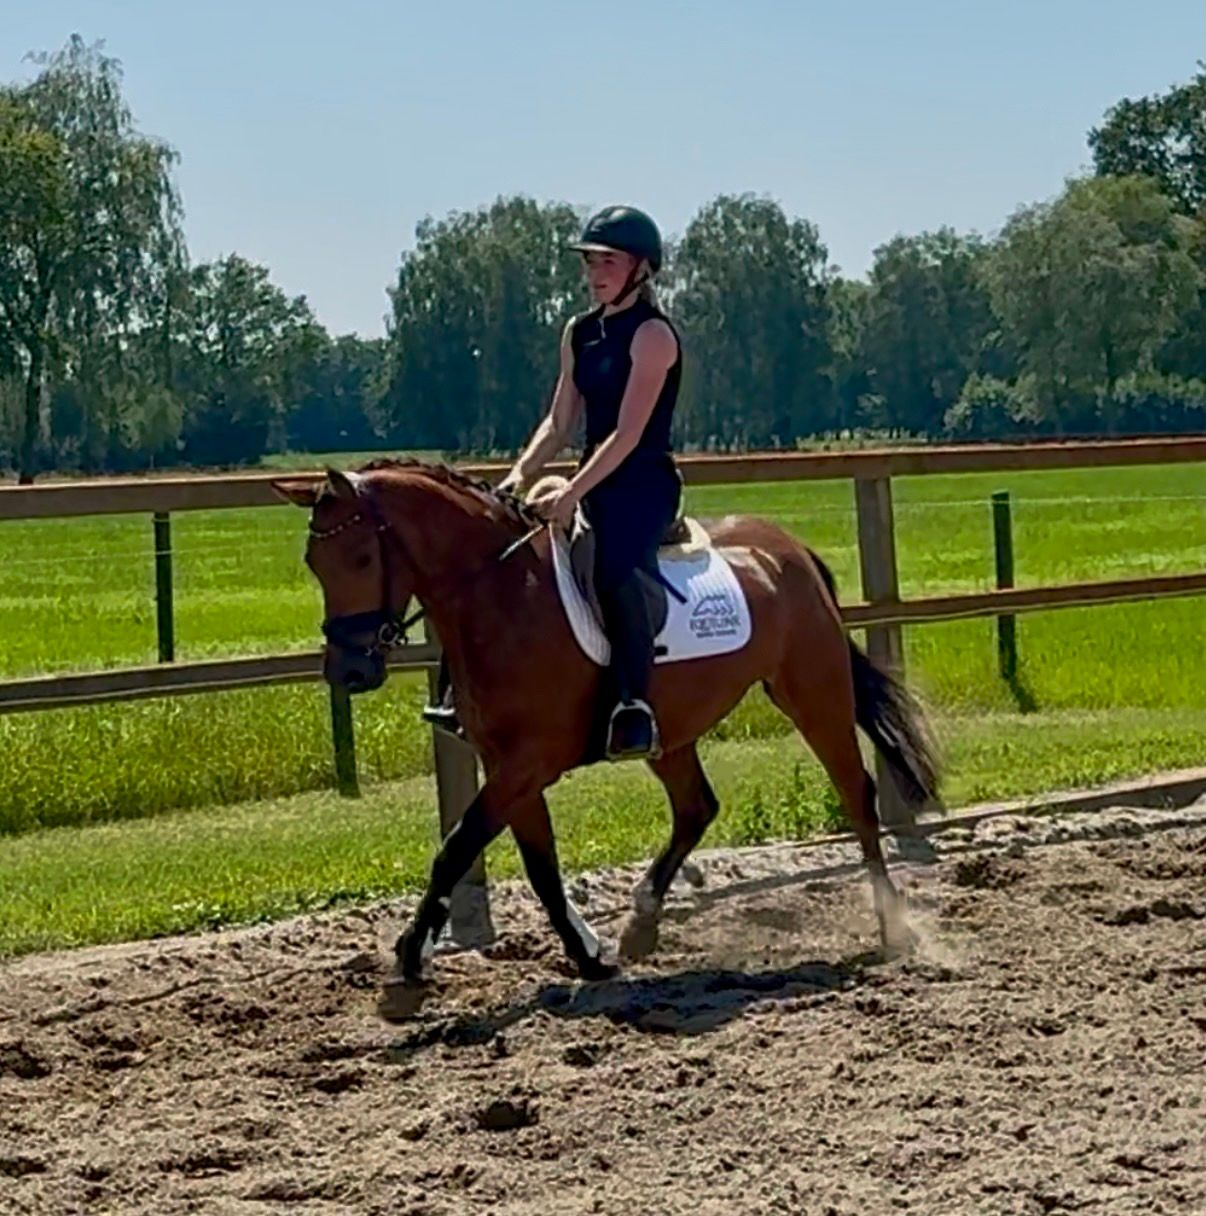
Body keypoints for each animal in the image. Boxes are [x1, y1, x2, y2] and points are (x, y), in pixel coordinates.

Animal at [272, 458, 940, 1018]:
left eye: (362, 559)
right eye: (313, 565)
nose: (348, 672)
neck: (502, 595)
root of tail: (788, 549)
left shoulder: (527, 764)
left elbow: (455, 850)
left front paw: (409, 967)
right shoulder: (509, 766)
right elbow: (540, 868)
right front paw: (590, 956)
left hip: (813, 693)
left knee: (855, 792)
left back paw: (893, 928)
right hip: (672, 731)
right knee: (697, 807)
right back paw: (641, 925)